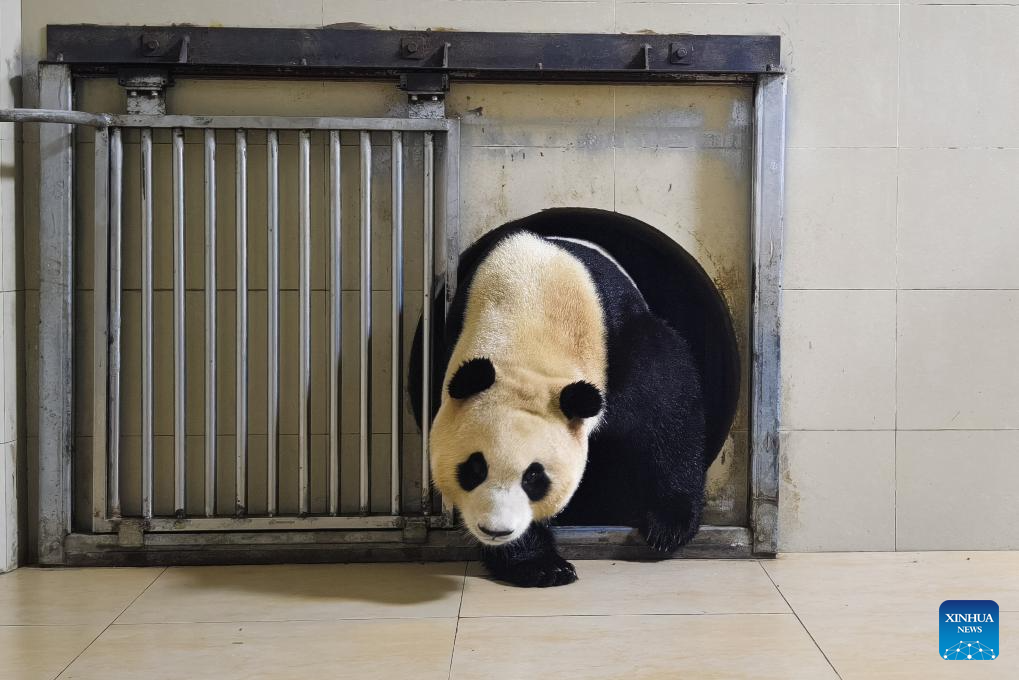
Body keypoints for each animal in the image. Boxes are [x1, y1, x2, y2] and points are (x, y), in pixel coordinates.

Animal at [413, 225, 719, 587]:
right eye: (473, 469)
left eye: (534, 477)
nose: (496, 530)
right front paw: (541, 565)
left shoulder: (616, 336)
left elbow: (668, 405)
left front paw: (667, 527)